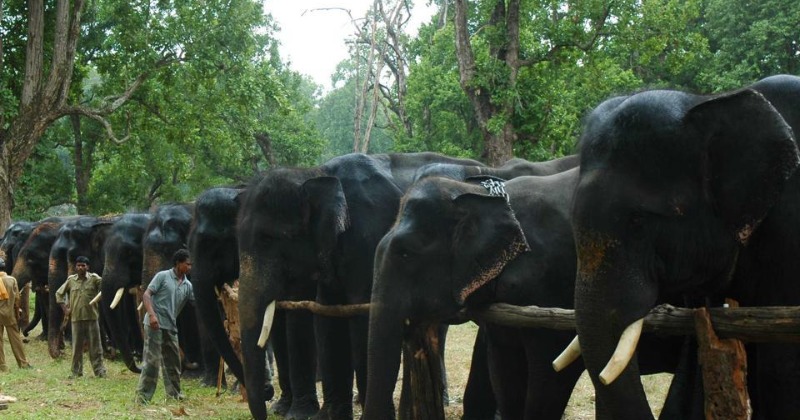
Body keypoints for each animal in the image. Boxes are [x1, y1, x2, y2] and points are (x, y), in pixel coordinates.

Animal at [234, 152, 484, 420]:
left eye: (267, 239)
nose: (267, 392)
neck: (316, 173)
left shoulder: (369, 238)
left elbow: (363, 316)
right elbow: (327, 317)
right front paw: (324, 416)